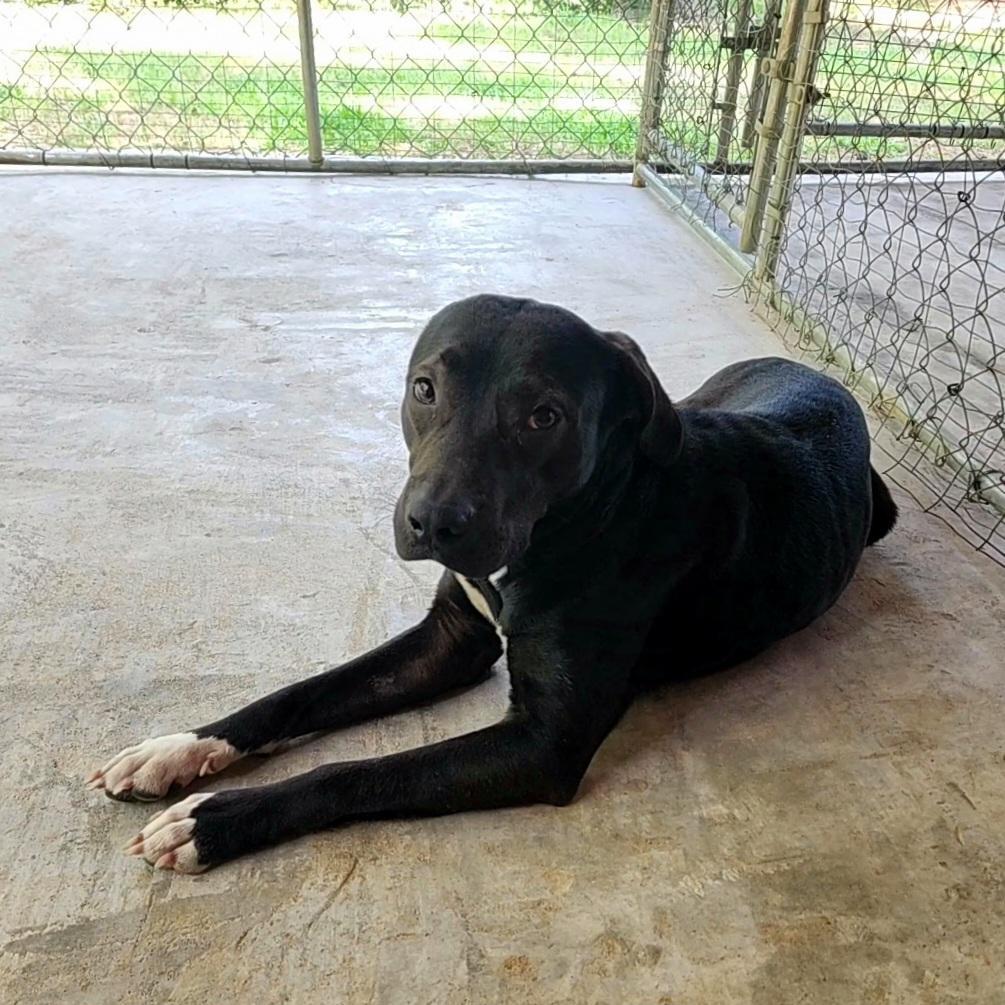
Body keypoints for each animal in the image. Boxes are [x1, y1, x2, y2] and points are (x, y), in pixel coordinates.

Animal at [88, 293, 896, 872]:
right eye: (424, 388)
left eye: (543, 416)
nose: (431, 523)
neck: (578, 520)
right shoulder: (449, 639)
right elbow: (301, 692)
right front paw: (183, 745)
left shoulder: (542, 742)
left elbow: (357, 771)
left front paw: (216, 820)